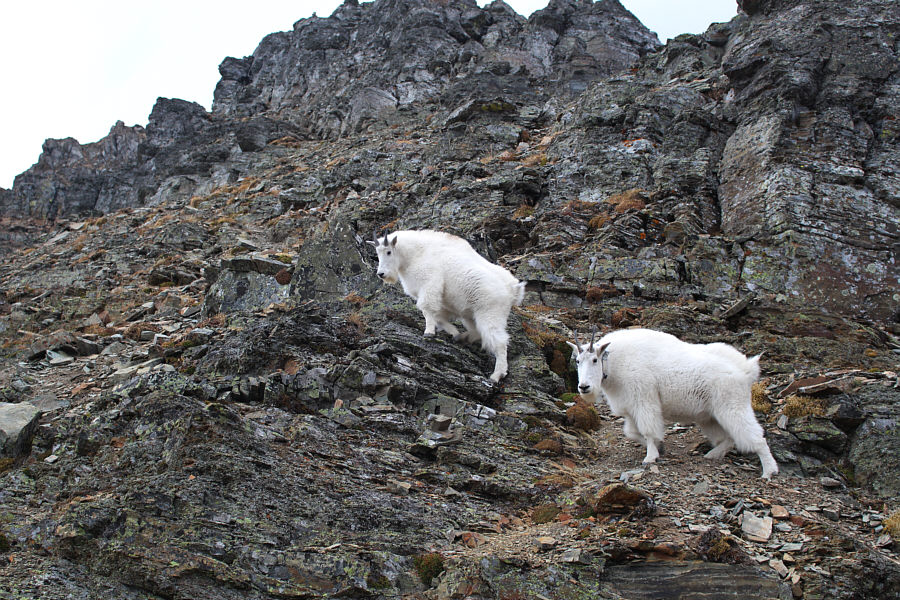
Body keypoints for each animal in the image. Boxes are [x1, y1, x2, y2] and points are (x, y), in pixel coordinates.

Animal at [369, 229, 525, 382]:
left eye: (388, 251)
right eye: (377, 252)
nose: (381, 274)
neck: (415, 255)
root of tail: (513, 290)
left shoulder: (429, 284)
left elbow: (427, 310)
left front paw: (429, 332)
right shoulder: (442, 301)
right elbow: (439, 317)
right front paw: (453, 332)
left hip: (490, 313)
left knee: (499, 341)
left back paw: (497, 375)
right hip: (471, 315)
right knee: (478, 332)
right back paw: (463, 338)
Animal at [567, 327, 778, 478]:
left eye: (595, 360)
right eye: (577, 361)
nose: (584, 387)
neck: (615, 363)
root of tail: (745, 371)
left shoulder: (645, 400)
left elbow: (648, 431)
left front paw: (650, 457)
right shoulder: (630, 408)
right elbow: (631, 432)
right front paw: (660, 447)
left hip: (733, 405)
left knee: (755, 437)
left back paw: (769, 471)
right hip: (710, 416)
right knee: (728, 438)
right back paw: (713, 455)